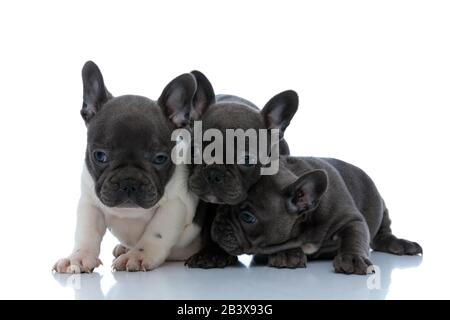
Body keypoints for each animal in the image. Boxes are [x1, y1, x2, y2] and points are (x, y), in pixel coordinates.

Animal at [211, 156, 422, 274]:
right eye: (223, 205)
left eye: (247, 217)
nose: (219, 222)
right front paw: (287, 254)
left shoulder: (350, 218)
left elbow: (355, 235)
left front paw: (353, 258)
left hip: (382, 209)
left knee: (382, 234)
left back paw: (400, 244)